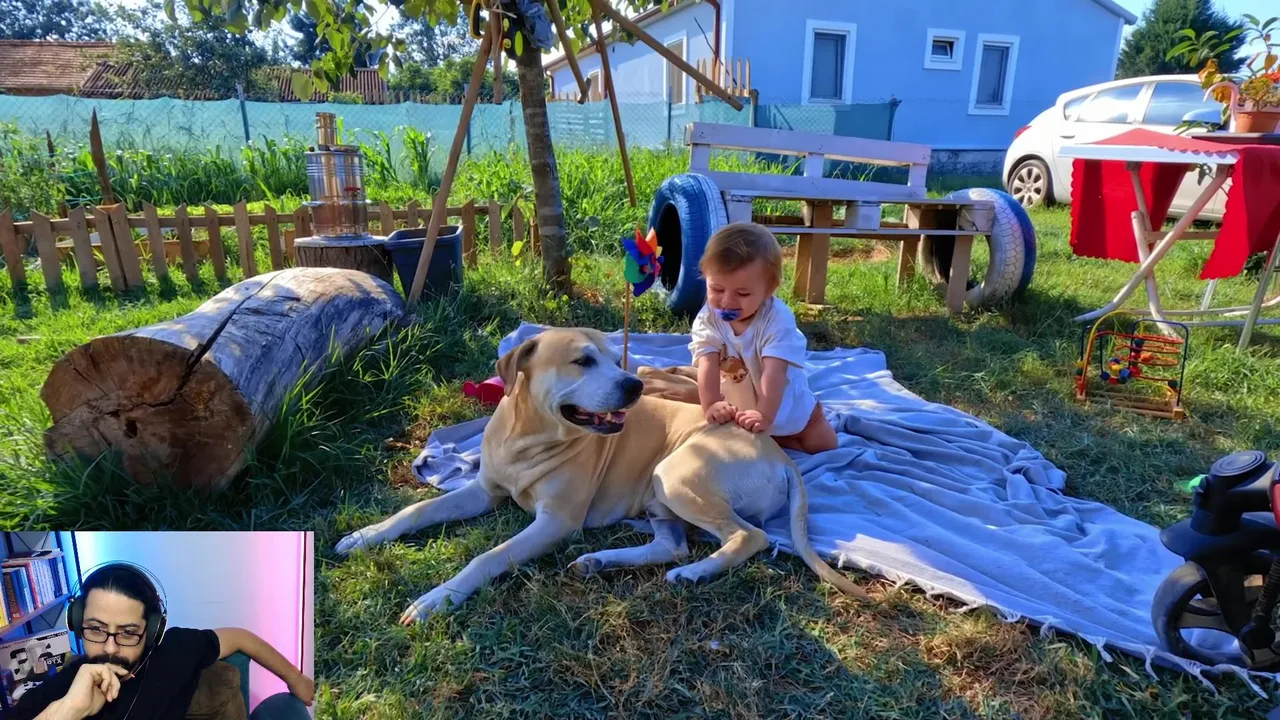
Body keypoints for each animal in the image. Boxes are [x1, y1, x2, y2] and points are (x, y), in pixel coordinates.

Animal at [335, 327, 869, 624]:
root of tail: (781, 456)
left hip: (677, 474)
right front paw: (365, 534)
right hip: (660, 493)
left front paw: (437, 598)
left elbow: (489, 555)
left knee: (746, 537)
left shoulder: (555, 521)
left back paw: (694, 573)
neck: (528, 435)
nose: (635, 385)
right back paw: (601, 561)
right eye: (582, 360)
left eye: (618, 360)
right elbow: (416, 509)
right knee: (672, 542)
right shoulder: (483, 491)